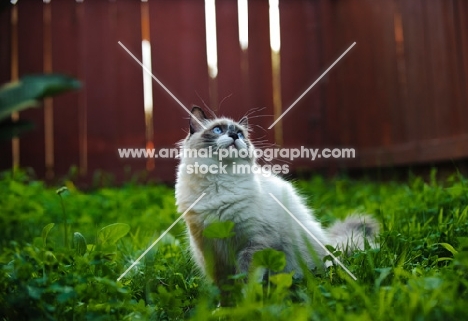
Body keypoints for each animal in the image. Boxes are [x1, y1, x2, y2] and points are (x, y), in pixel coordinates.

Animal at [174, 107, 378, 288]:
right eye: (218, 130)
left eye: (240, 134)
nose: (234, 136)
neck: (219, 181)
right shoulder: (212, 252)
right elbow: (224, 287)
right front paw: (225, 307)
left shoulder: (254, 243)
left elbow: (246, 282)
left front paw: (246, 303)